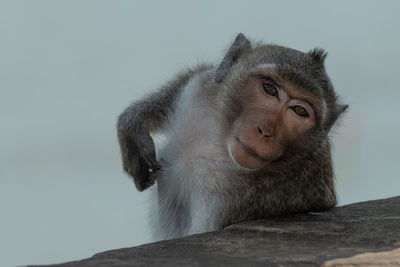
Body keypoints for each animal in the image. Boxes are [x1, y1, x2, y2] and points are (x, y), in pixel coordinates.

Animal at [116, 33, 346, 241]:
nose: (265, 130)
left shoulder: (231, 202)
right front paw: (134, 123)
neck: (219, 145)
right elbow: (203, 76)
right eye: (270, 89)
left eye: (299, 111)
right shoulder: (196, 91)